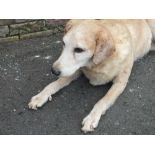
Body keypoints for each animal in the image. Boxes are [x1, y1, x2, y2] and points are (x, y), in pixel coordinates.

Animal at [27, 19, 155, 133]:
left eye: (79, 50)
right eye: (63, 43)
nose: (53, 71)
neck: (98, 64)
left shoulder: (120, 83)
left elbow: (102, 101)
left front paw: (92, 117)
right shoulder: (76, 70)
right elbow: (54, 84)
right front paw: (40, 96)